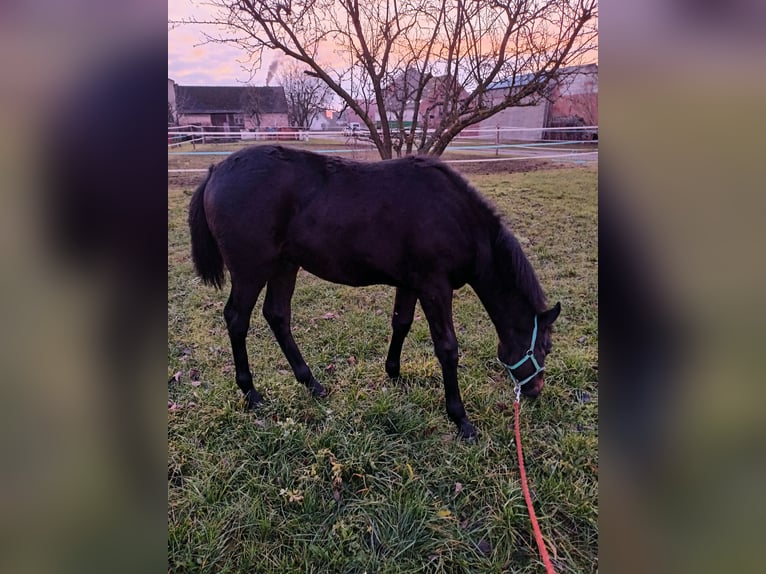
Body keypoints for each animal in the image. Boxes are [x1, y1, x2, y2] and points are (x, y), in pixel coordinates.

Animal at [188, 145, 560, 439]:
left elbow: (401, 323)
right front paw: (460, 419)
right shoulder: (435, 286)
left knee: (277, 316)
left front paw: (394, 374)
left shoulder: (411, 283)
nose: (535, 391)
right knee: (237, 320)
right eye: (546, 347)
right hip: (250, 272)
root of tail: (216, 171)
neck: (455, 216)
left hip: (285, 265)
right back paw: (250, 392)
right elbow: (447, 348)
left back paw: (311, 383)